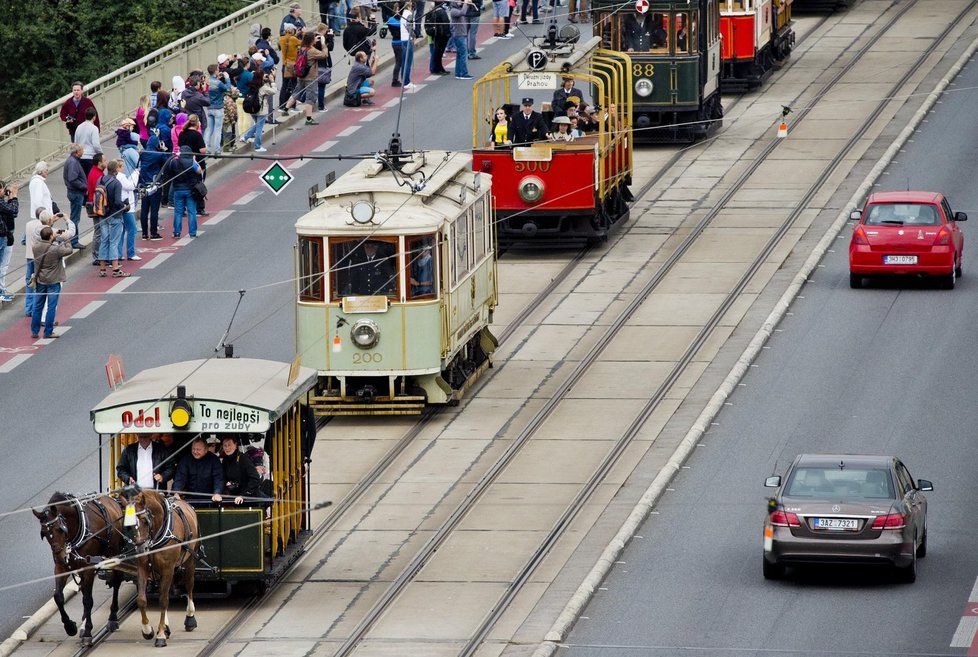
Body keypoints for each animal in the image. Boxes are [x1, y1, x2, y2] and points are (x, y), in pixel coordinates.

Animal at [33, 492, 126, 640]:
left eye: (60, 529)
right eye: (44, 533)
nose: (60, 556)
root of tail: (113, 500)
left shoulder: (88, 568)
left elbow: (88, 600)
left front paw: (87, 630)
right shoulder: (61, 568)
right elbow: (58, 597)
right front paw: (70, 627)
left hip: (115, 553)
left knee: (117, 581)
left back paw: (112, 618)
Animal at [122, 486, 198, 644]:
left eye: (145, 521)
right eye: (129, 525)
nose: (141, 548)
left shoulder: (168, 568)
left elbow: (163, 600)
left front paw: (161, 635)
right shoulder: (143, 568)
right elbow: (142, 599)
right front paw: (148, 630)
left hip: (189, 562)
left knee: (189, 585)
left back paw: (190, 618)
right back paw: (166, 626)